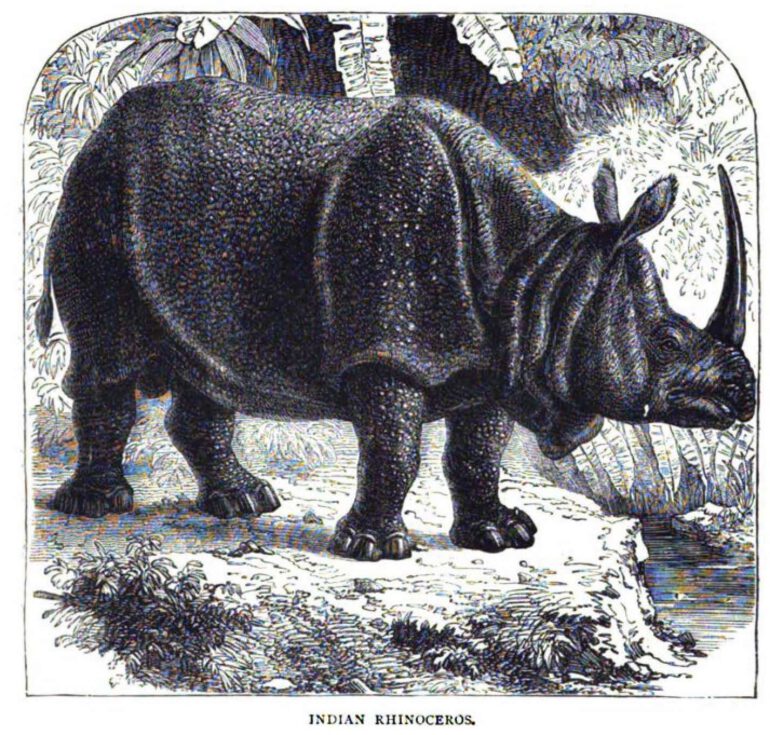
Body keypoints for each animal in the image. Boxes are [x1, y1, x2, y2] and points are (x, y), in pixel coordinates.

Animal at [36, 78, 755, 560]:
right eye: (666, 338)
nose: (743, 391)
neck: (545, 274)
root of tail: (98, 132)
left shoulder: (492, 355)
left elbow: (477, 451)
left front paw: (502, 535)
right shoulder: (389, 341)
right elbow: (394, 447)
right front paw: (374, 550)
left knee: (207, 361)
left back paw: (244, 502)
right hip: (96, 199)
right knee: (107, 359)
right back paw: (98, 507)